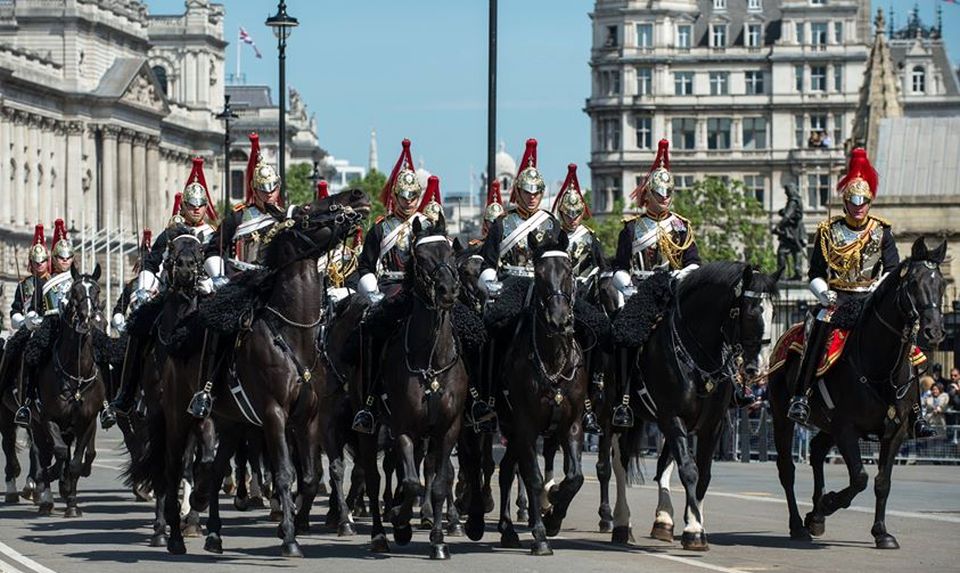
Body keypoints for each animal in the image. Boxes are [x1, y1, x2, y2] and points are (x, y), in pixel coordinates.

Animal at [201, 190, 370, 556]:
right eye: (306, 210)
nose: (358, 196)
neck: (294, 333)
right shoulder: (276, 414)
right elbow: (286, 472)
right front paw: (292, 536)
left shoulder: (309, 418)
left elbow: (311, 475)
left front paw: (305, 520)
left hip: (233, 422)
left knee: (217, 468)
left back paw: (214, 533)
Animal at [616, 264, 780, 548]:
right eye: (750, 312)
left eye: (773, 313)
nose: (758, 368)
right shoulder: (672, 417)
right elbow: (689, 470)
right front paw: (693, 529)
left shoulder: (712, 424)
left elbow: (702, 474)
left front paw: (694, 524)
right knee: (617, 464)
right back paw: (619, 521)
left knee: (660, 464)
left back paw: (663, 519)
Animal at [768, 238, 948, 548]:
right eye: (913, 282)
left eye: (942, 284)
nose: (933, 331)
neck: (880, 367)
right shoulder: (846, 427)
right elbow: (860, 478)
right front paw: (827, 504)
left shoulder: (895, 431)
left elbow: (882, 482)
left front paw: (881, 533)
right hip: (783, 416)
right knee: (787, 469)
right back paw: (799, 525)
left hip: (826, 425)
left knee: (816, 451)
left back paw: (815, 516)